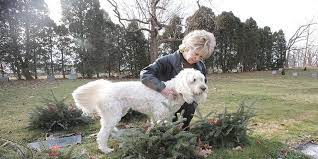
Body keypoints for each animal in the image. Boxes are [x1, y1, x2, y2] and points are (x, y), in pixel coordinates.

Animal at [71, 68, 207, 153]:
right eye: (193, 80)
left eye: (202, 79)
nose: (204, 88)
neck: (174, 90)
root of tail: (105, 89)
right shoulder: (159, 115)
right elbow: (160, 129)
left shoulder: (167, 116)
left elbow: (167, 128)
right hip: (112, 115)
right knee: (102, 134)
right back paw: (105, 149)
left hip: (118, 113)